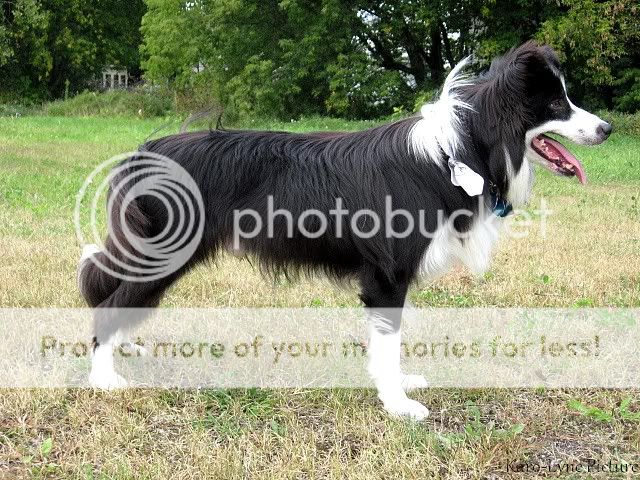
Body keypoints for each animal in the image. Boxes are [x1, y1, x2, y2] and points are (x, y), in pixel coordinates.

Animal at [79, 41, 608, 418]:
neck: (457, 151)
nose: (607, 128)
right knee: (108, 303)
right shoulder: (387, 274)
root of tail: (144, 151)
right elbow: (388, 342)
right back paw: (105, 379)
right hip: (164, 251)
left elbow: (387, 344)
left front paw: (398, 387)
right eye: (557, 103)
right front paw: (399, 406)